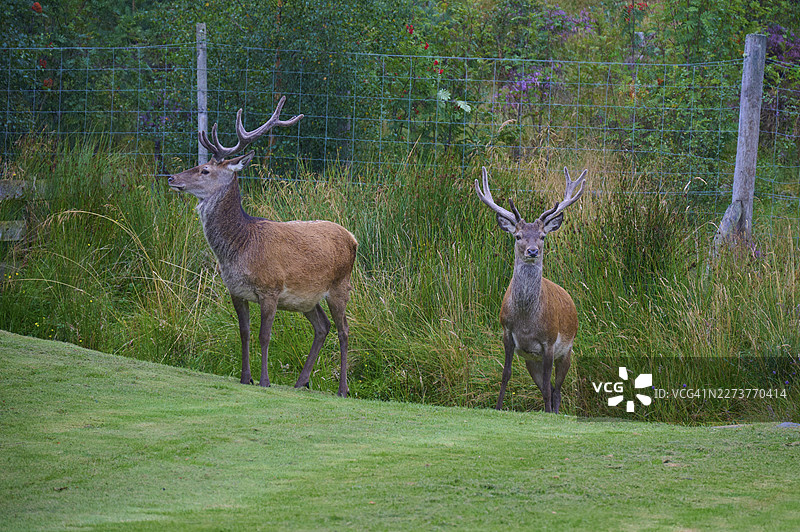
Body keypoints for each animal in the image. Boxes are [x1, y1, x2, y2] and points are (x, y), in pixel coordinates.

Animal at [167, 97, 357, 397]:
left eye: (205, 170)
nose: (172, 178)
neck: (241, 248)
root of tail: (353, 238)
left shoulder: (271, 289)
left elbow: (264, 335)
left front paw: (264, 380)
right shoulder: (235, 290)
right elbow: (244, 332)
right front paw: (246, 377)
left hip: (340, 285)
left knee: (344, 330)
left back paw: (342, 389)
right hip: (307, 298)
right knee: (322, 326)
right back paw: (301, 382)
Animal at [475, 166, 586, 413]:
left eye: (542, 236)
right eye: (518, 236)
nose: (533, 251)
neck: (527, 321)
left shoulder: (550, 342)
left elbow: (547, 385)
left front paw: (546, 413)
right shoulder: (507, 333)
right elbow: (506, 374)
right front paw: (498, 407)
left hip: (568, 350)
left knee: (557, 388)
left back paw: (554, 411)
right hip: (530, 360)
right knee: (550, 387)